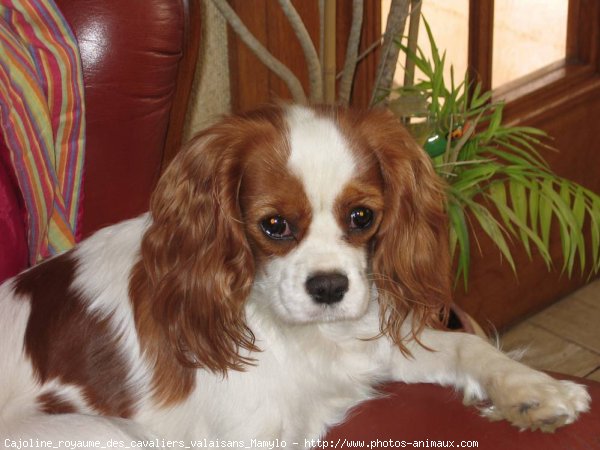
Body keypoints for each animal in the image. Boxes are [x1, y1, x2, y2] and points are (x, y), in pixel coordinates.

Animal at [0, 104, 592, 442]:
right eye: (275, 225)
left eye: (362, 217)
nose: (329, 287)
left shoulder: (373, 342)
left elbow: (467, 345)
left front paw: (533, 392)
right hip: (101, 433)